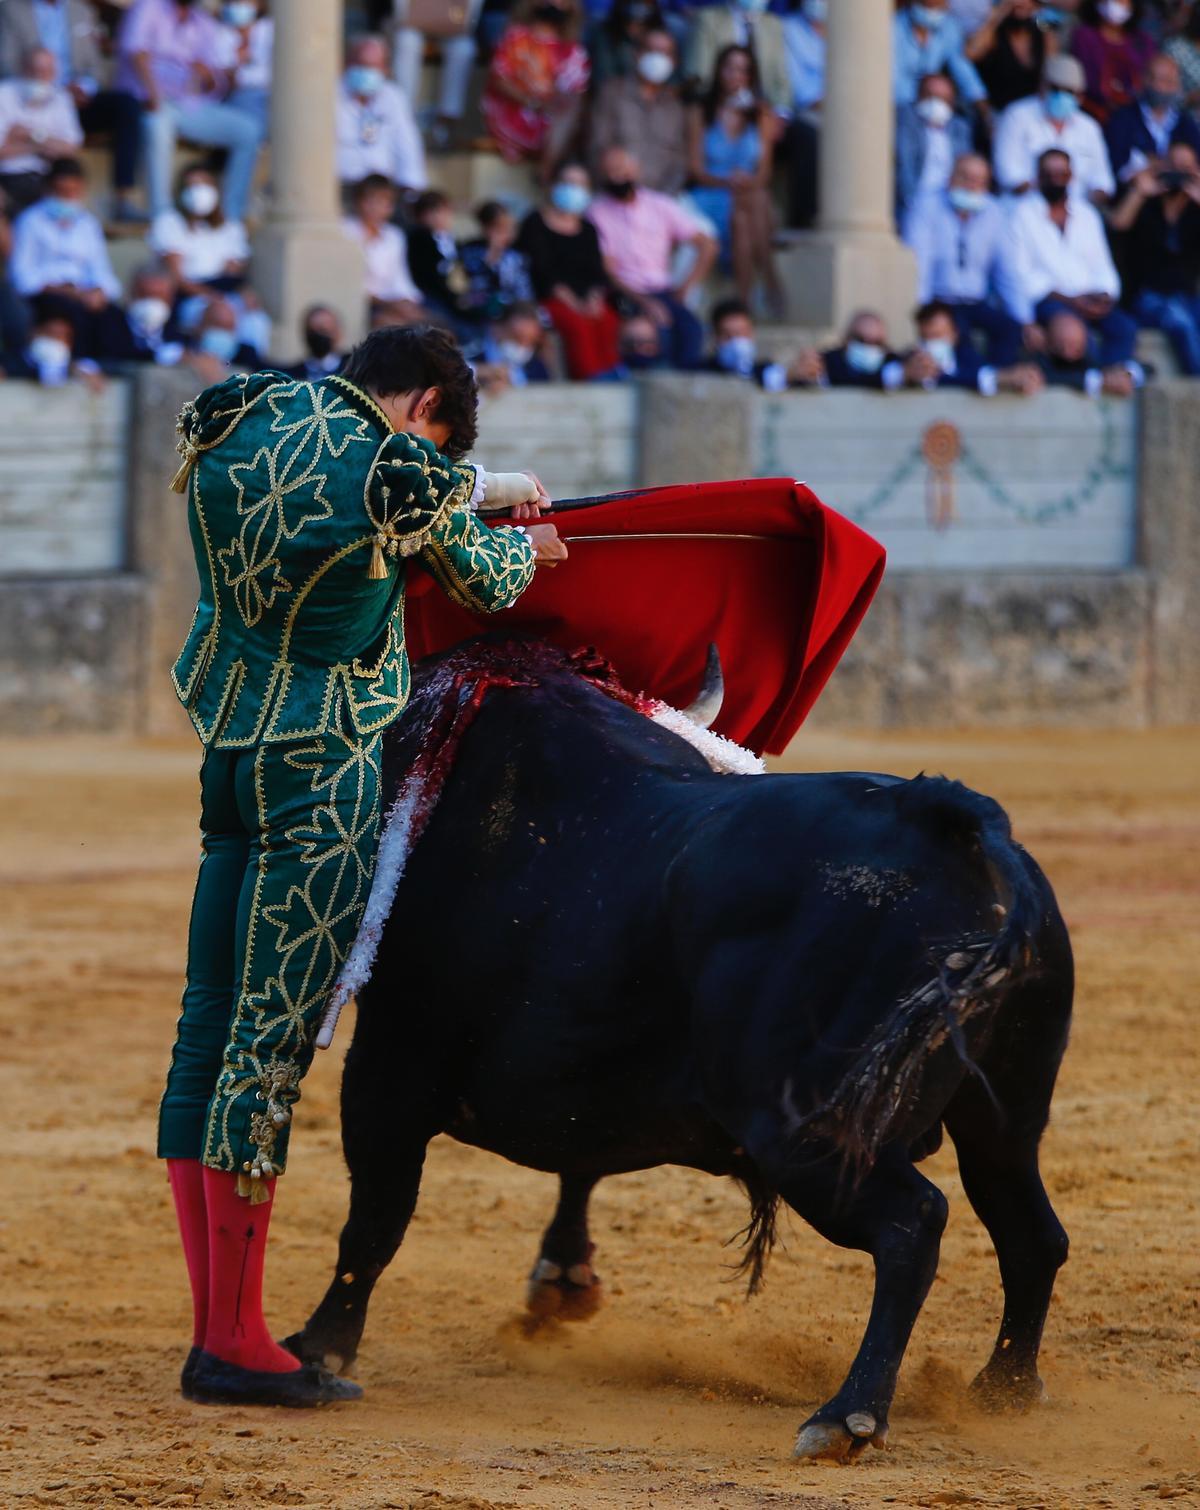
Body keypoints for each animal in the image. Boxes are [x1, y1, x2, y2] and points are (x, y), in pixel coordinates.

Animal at [288, 640, 1068, 1461]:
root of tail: (955, 825)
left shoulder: (387, 1066)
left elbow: (375, 1219)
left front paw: (321, 1349)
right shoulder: (580, 1064)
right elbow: (578, 1159)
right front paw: (562, 1279)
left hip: (804, 1133)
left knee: (914, 1222)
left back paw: (847, 1414)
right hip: (1005, 1118)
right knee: (1031, 1233)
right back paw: (1005, 1389)